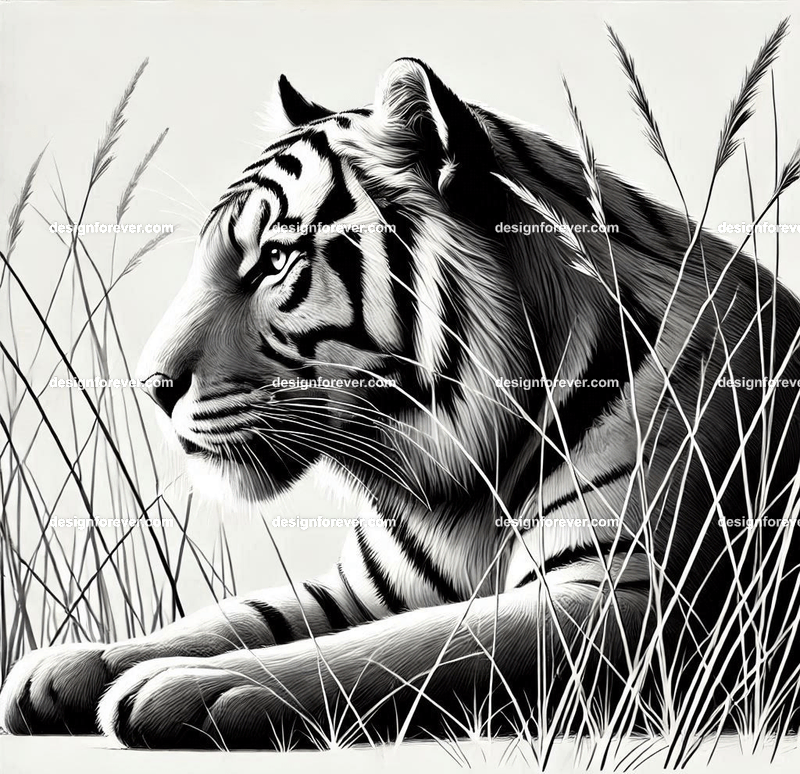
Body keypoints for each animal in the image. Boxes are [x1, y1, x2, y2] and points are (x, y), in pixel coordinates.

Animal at [2, 58, 800, 750]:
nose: (152, 386)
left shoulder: (622, 599)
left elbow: (411, 645)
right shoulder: (363, 588)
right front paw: (74, 663)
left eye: (275, 260)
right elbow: (238, 613)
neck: (456, 469)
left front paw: (188, 686)